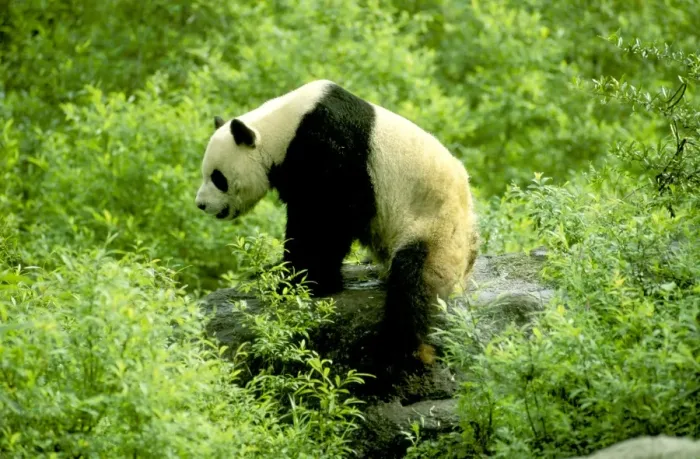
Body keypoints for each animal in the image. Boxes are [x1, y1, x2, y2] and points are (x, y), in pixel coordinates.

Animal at [195, 80, 479, 370]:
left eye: (218, 178)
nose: (201, 204)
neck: (280, 126)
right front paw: (276, 271)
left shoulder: (331, 148)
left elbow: (326, 218)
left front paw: (303, 282)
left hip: (436, 228)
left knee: (415, 282)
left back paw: (398, 349)